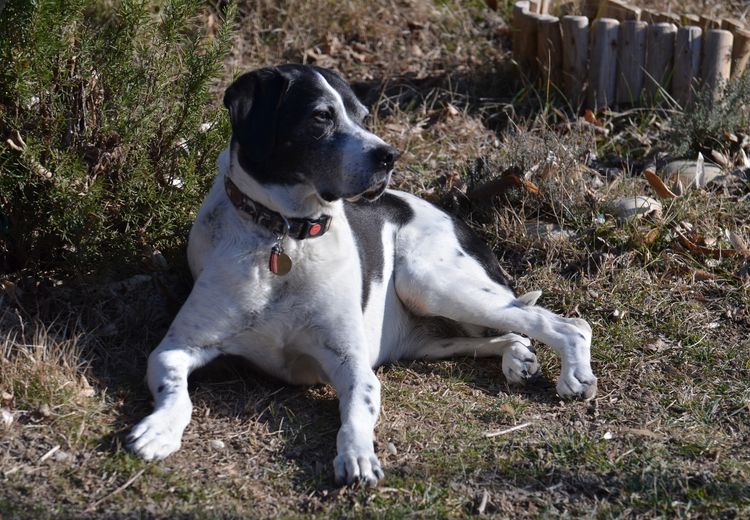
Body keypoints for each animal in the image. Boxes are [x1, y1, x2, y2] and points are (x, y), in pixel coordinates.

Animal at [129, 65, 600, 488]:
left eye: (362, 114)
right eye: (321, 116)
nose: (390, 156)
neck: (285, 236)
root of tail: (456, 220)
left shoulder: (351, 364)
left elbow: (355, 412)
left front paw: (357, 455)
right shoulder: (176, 348)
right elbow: (176, 392)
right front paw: (159, 429)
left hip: (431, 283)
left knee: (567, 323)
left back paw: (574, 375)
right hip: (429, 338)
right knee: (510, 333)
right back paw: (517, 356)